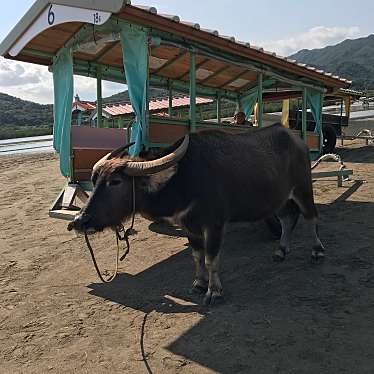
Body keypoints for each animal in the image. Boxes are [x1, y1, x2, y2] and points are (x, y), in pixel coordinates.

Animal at [68, 124, 324, 306]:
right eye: (94, 180)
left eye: (115, 182)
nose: (80, 221)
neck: (182, 179)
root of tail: (297, 140)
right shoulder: (189, 226)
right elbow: (196, 256)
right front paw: (199, 284)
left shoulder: (215, 225)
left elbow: (211, 259)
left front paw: (214, 291)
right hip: (277, 199)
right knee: (287, 218)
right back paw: (281, 251)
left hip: (303, 189)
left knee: (311, 217)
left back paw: (317, 251)